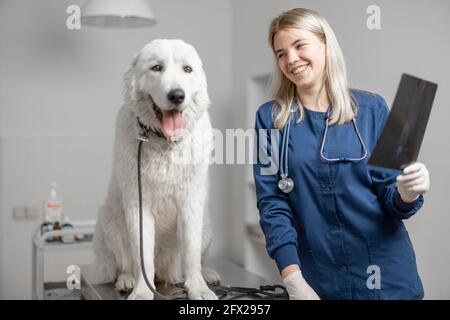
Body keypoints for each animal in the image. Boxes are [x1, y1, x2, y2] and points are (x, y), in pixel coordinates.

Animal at [86, 39, 220, 300]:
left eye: (187, 69)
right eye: (157, 68)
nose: (177, 95)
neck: (165, 142)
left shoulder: (191, 202)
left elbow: (191, 253)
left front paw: (198, 288)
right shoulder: (138, 205)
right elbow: (142, 257)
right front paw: (141, 292)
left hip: (207, 222)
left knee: (189, 264)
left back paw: (204, 275)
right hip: (109, 219)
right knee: (123, 264)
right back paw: (126, 280)